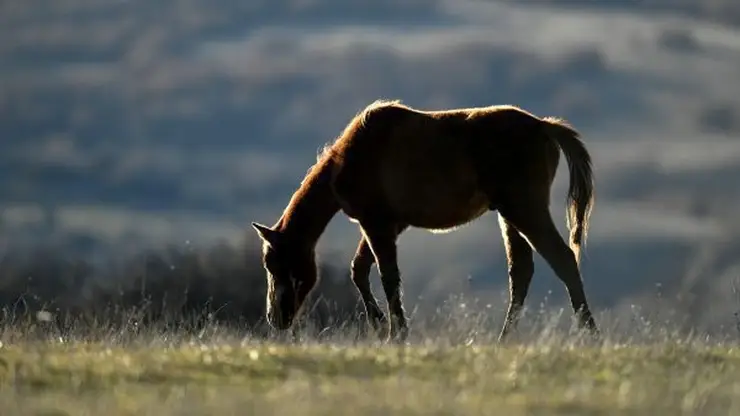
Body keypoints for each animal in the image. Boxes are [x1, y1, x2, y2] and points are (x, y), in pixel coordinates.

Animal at [251, 99, 600, 342]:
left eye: (274, 264)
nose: (274, 318)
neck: (348, 158)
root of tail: (543, 126)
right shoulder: (386, 225)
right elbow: (359, 271)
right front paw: (381, 324)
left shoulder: (376, 225)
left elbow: (387, 277)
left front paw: (396, 333)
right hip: (510, 216)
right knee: (521, 273)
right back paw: (504, 340)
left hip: (524, 209)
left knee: (563, 260)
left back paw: (590, 334)